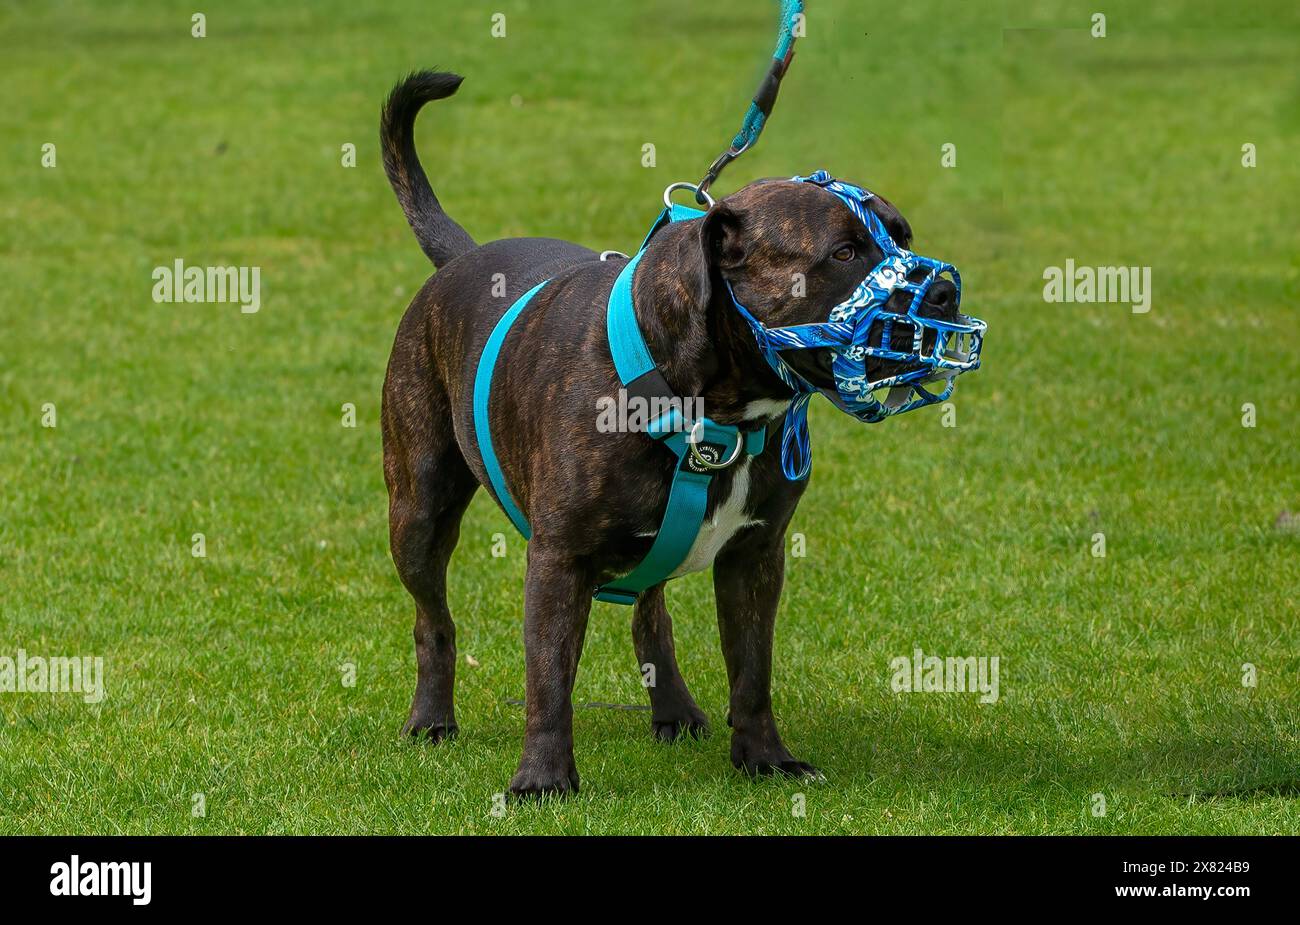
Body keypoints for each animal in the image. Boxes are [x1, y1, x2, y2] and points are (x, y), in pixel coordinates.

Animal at [377, 72, 967, 800]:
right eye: (845, 252)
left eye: (904, 236)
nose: (942, 293)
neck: (714, 409)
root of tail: (461, 257)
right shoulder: (557, 559)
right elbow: (548, 679)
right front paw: (542, 777)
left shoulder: (756, 556)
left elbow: (752, 670)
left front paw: (765, 756)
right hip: (419, 511)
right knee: (433, 619)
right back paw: (431, 717)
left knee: (649, 611)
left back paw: (675, 708)